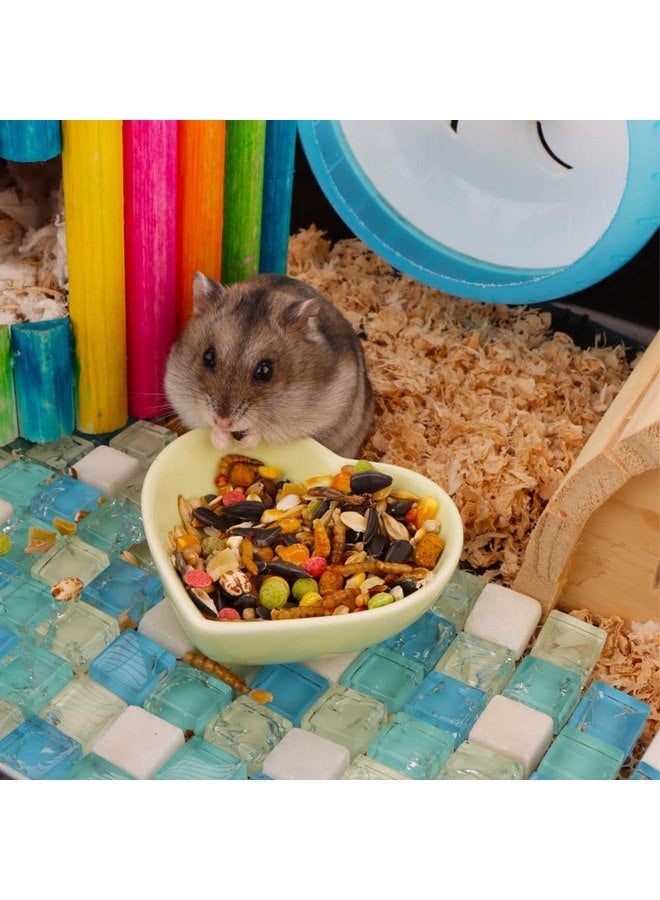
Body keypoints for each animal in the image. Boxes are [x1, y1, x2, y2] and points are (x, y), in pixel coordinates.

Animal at [164, 272, 374, 458]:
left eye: (265, 371)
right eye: (208, 357)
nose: (223, 422)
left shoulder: (308, 418)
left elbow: (263, 431)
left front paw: (242, 444)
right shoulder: (181, 396)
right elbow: (206, 426)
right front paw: (224, 442)